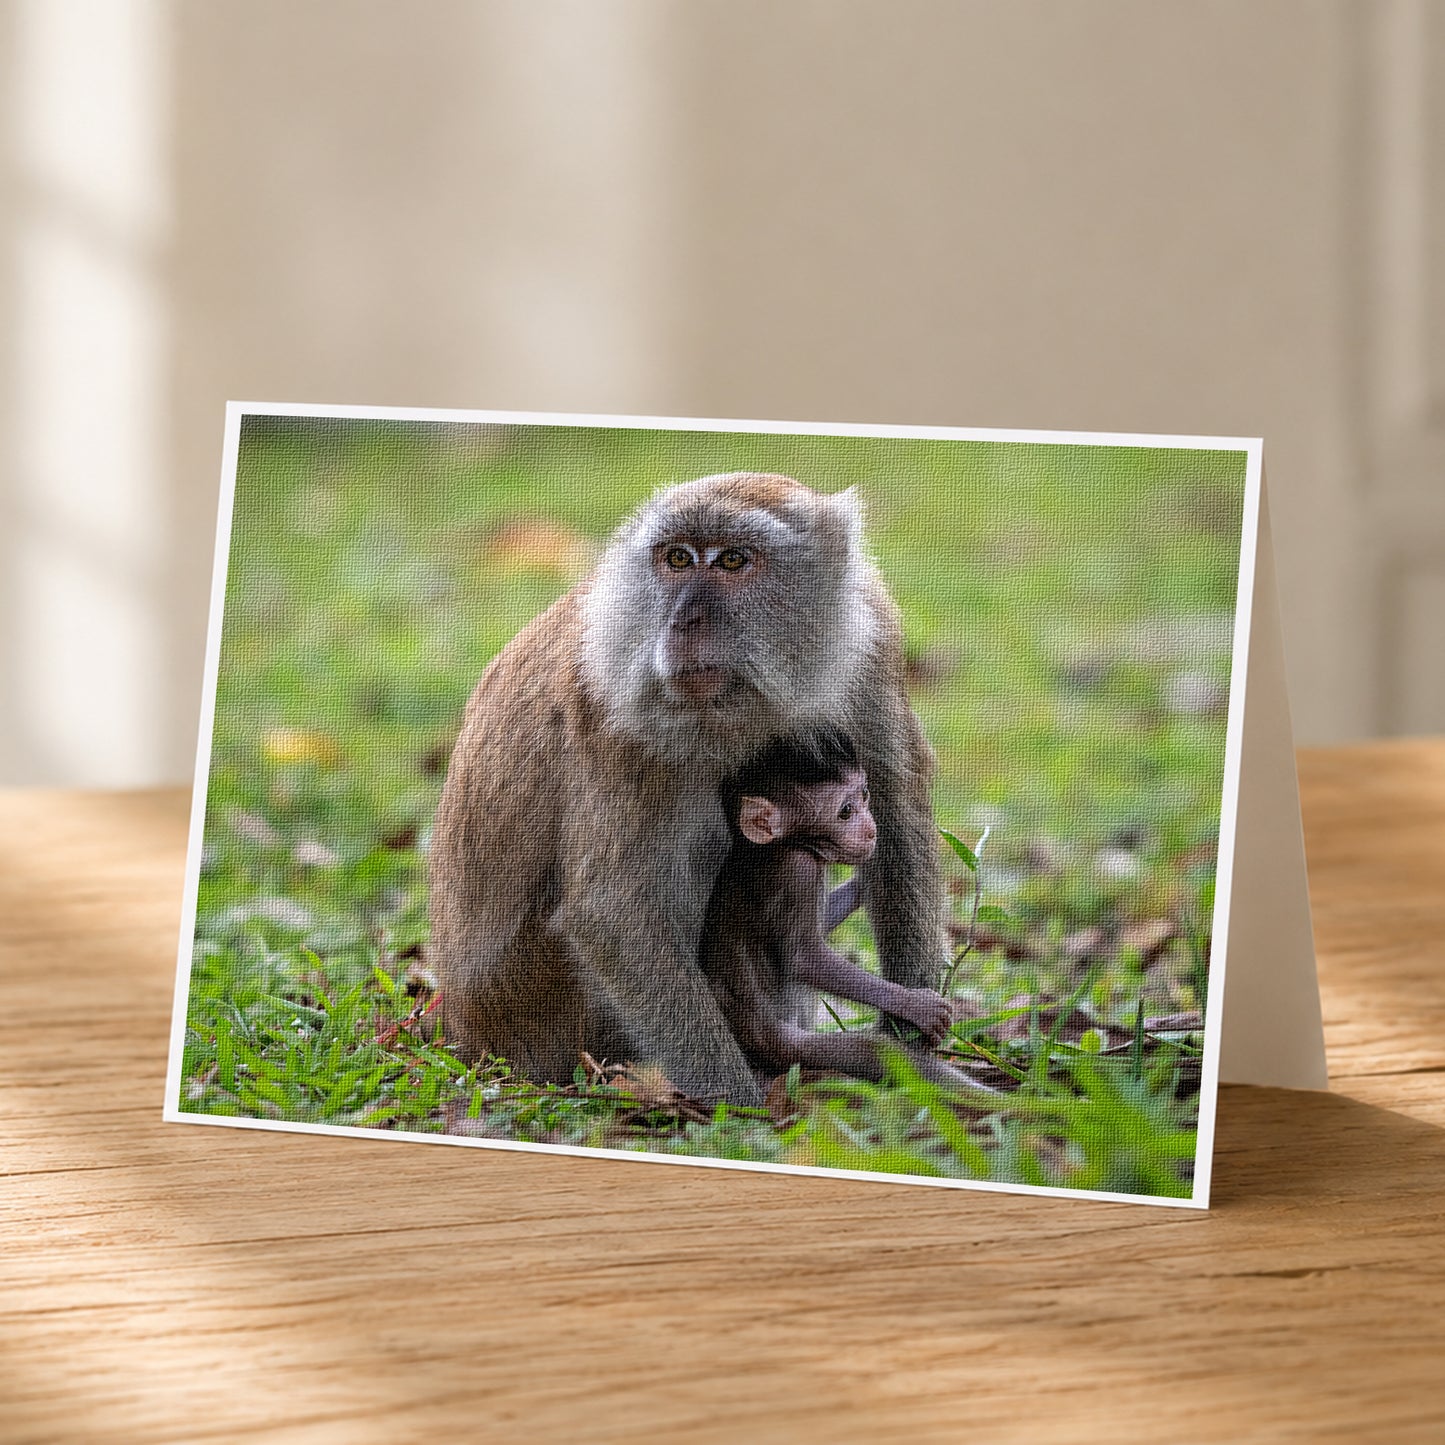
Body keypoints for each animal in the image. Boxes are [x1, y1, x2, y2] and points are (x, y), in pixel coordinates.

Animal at [701, 729, 967, 1094]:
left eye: (865, 795)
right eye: (845, 811)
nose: (870, 829)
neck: (775, 845)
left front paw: (861, 885)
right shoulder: (799, 870)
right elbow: (803, 958)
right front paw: (913, 1004)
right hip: (784, 1046)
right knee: (874, 1052)